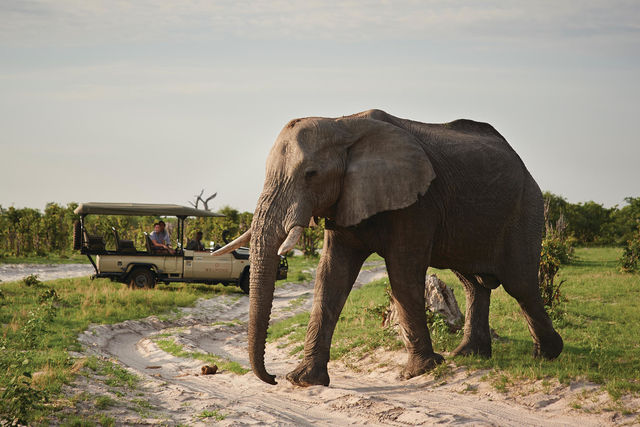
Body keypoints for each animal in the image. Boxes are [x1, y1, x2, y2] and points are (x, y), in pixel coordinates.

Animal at [216, 108, 564, 388]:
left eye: (311, 175)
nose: (272, 378)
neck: (342, 124)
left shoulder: (417, 202)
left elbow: (403, 272)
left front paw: (419, 372)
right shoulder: (345, 199)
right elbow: (331, 275)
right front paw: (304, 381)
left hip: (527, 208)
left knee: (520, 284)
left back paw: (547, 355)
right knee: (473, 283)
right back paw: (469, 355)